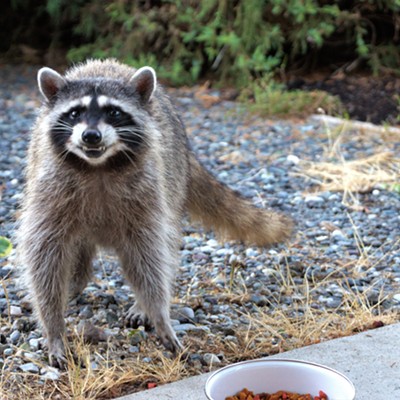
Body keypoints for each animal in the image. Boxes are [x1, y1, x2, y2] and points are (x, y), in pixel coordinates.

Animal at [17, 57, 292, 368]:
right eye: (75, 112)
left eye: (114, 112)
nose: (91, 136)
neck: (98, 167)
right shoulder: (50, 188)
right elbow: (44, 254)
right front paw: (54, 328)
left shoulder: (147, 190)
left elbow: (148, 254)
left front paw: (158, 313)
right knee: (78, 244)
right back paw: (76, 280)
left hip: (172, 178)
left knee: (164, 245)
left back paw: (139, 302)